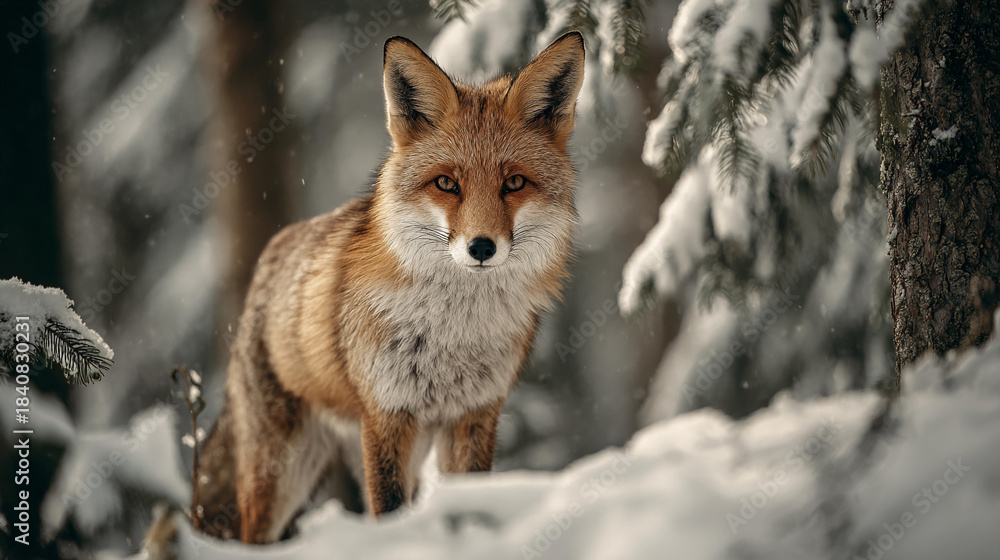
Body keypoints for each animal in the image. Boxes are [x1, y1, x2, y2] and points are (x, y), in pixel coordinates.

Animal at [189, 32, 585, 545]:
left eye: (514, 182)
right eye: (446, 183)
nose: (481, 247)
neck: (454, 335)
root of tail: (272, 252)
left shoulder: (474, 414)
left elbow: (468, 500)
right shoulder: (387, 416)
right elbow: (389, 510)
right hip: (282, 473)